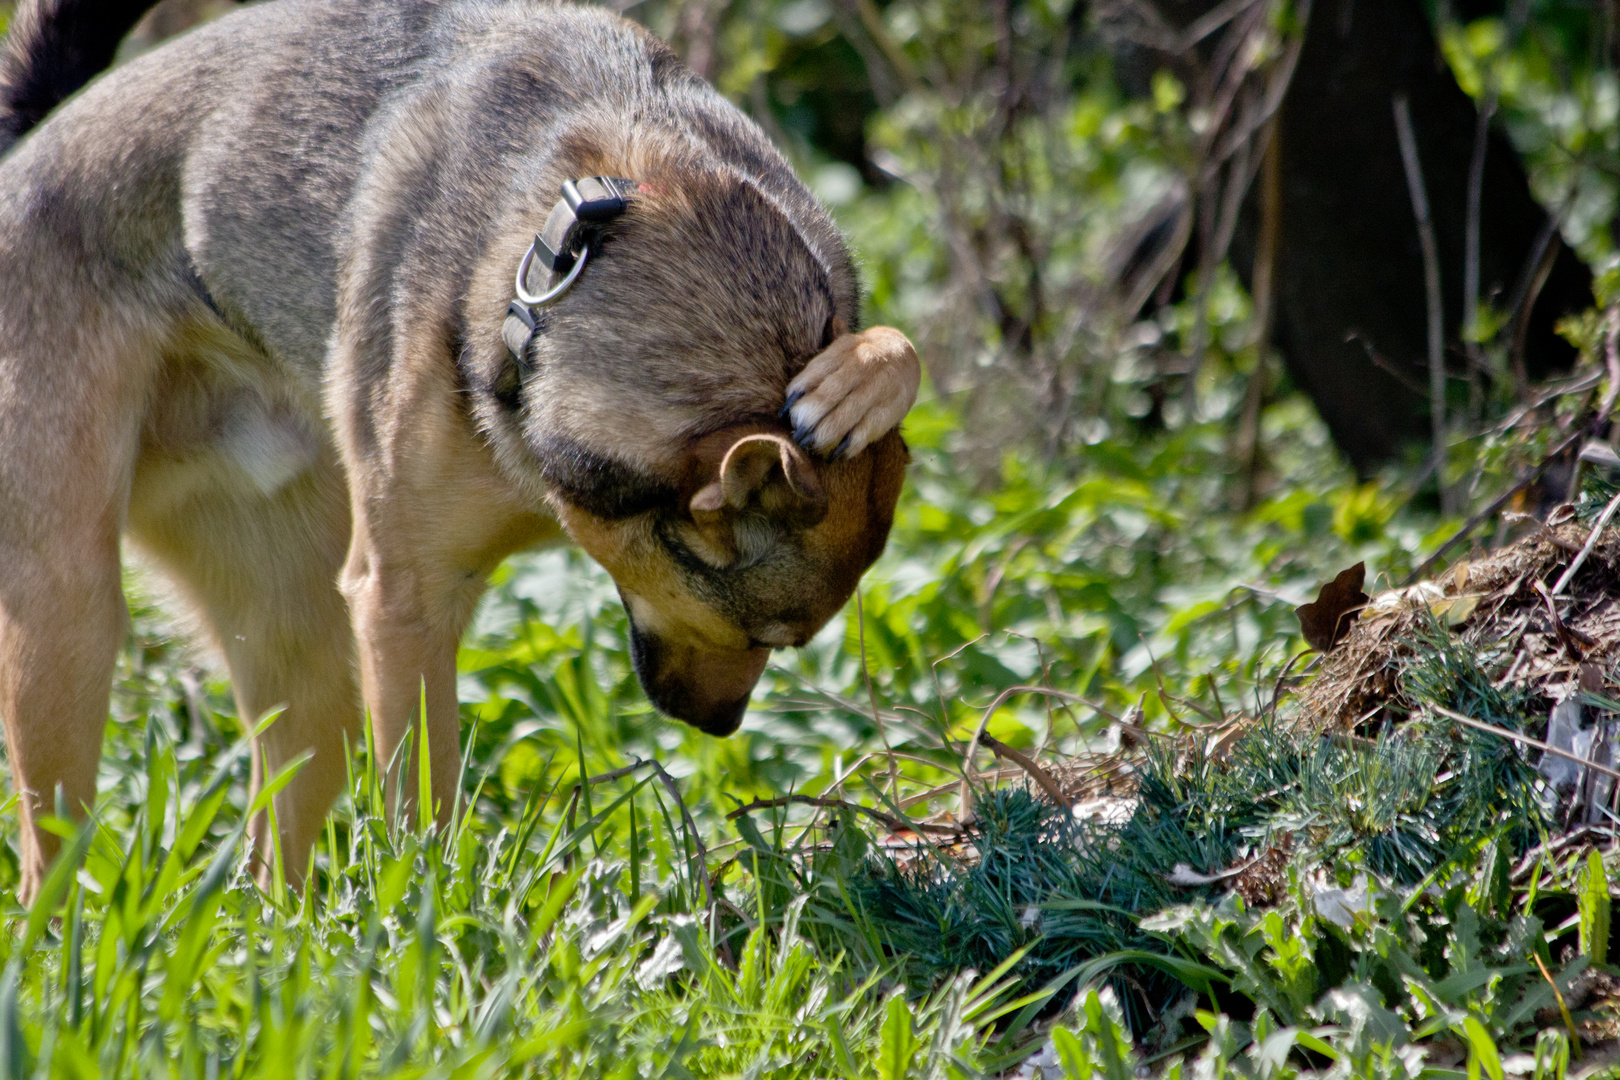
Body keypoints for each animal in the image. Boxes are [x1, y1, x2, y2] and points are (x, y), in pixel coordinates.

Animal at [0, 0, 920, 900]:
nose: (715, 725)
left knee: (272, 856)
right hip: (69, 626)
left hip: (303, 657)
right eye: (769, 636)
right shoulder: (402, 603)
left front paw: (857, 383)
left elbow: (897, 348)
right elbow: (422, 801)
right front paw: (428, 913)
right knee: (50, 864)